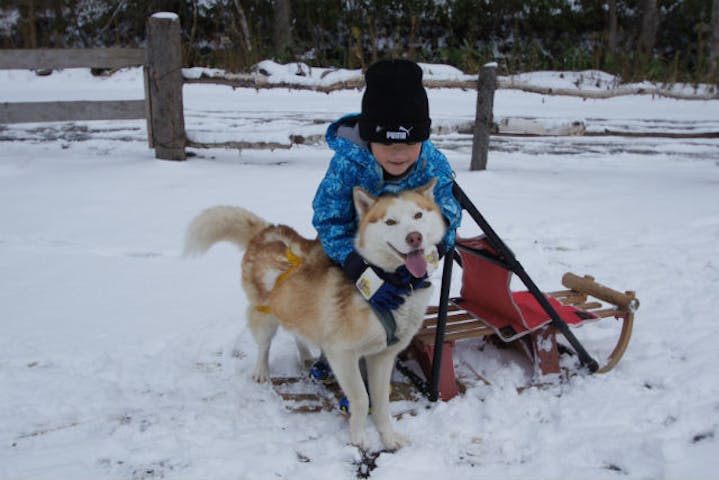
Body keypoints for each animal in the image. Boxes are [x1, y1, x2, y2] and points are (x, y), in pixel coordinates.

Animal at [183, 180, 448, 450]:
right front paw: (359, 436)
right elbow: (361, 398)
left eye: (418, 215)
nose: (414, 237)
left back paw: (305, 356)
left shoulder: (383, 356)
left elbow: (382, 402)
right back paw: (261, 371)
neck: (391, 284)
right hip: (265, 317)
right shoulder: (342, 355)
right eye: (390, 222)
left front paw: (388, 436)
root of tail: (267, 232)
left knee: (297, 331)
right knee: (264, 345)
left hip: (296, 308)